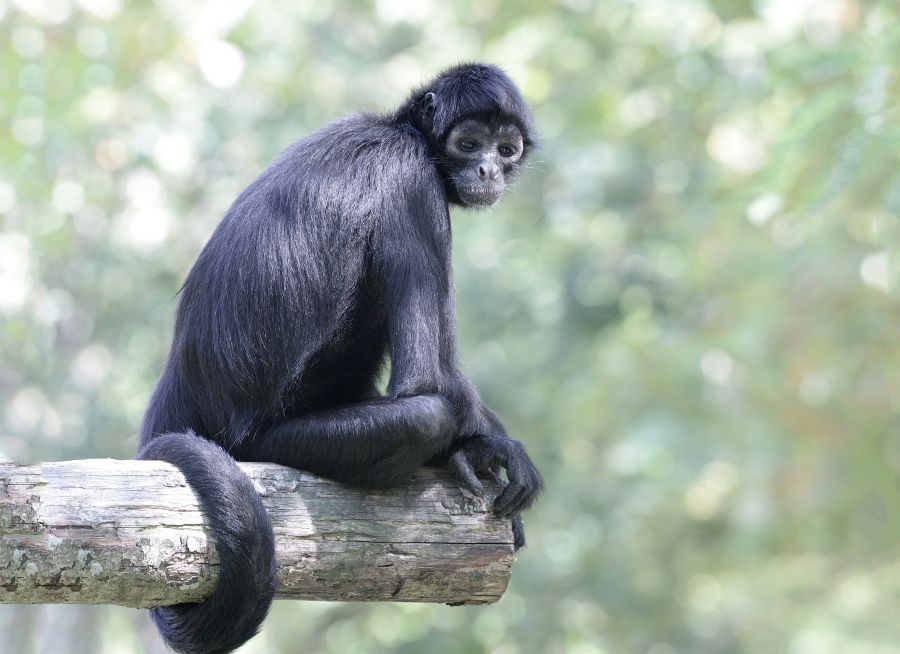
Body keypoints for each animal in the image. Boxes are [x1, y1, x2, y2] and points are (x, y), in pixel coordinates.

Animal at [138, 65, 544, 654]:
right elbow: (426, 383)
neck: (403, 132)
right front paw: (488, 445)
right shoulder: (411, 180)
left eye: (506, 149)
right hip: (265, 442)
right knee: (424, 416)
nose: (489, 167)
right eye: (469, 144)